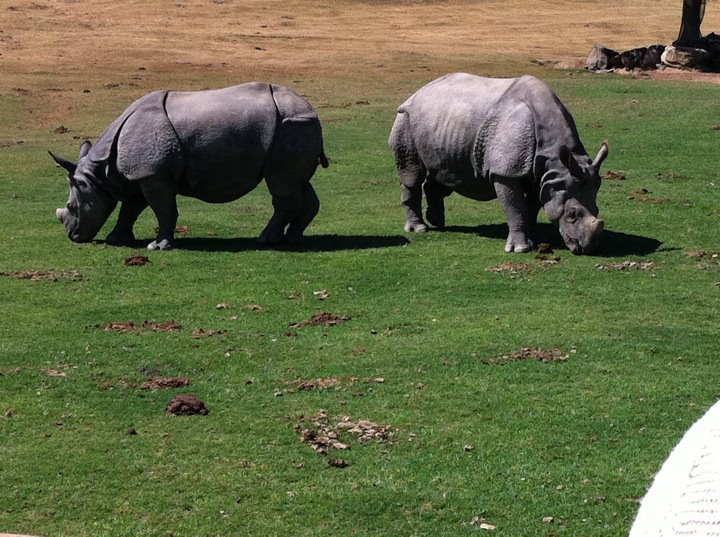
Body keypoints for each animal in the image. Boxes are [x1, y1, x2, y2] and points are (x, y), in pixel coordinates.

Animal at [51, 82, 328, 250]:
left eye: (71, 206)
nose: (72, 236)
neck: (101, 171)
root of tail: (311, 110)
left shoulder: (153, 174)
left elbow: (163, 209)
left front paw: (158, 246)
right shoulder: (140, 173)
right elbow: (130, 209)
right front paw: (116, 239)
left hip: (290, 125)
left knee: (281, 185)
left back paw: (266, 240)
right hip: (294, 127)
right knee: (297, 183)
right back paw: (293, 238)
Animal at [389, 73, 608, 254]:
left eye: (597, 210)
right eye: (572, 214)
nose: (587, 248)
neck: (555, 161)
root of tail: (417, 92)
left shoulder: (544, 176)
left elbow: (531, 207)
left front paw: (533, 238)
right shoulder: (506, 171)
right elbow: (515, 207)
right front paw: (520, 248)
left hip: (442, 124)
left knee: (443, 172)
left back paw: (437, 222)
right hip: (405, 118)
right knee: (413, 175)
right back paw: (419, 229)